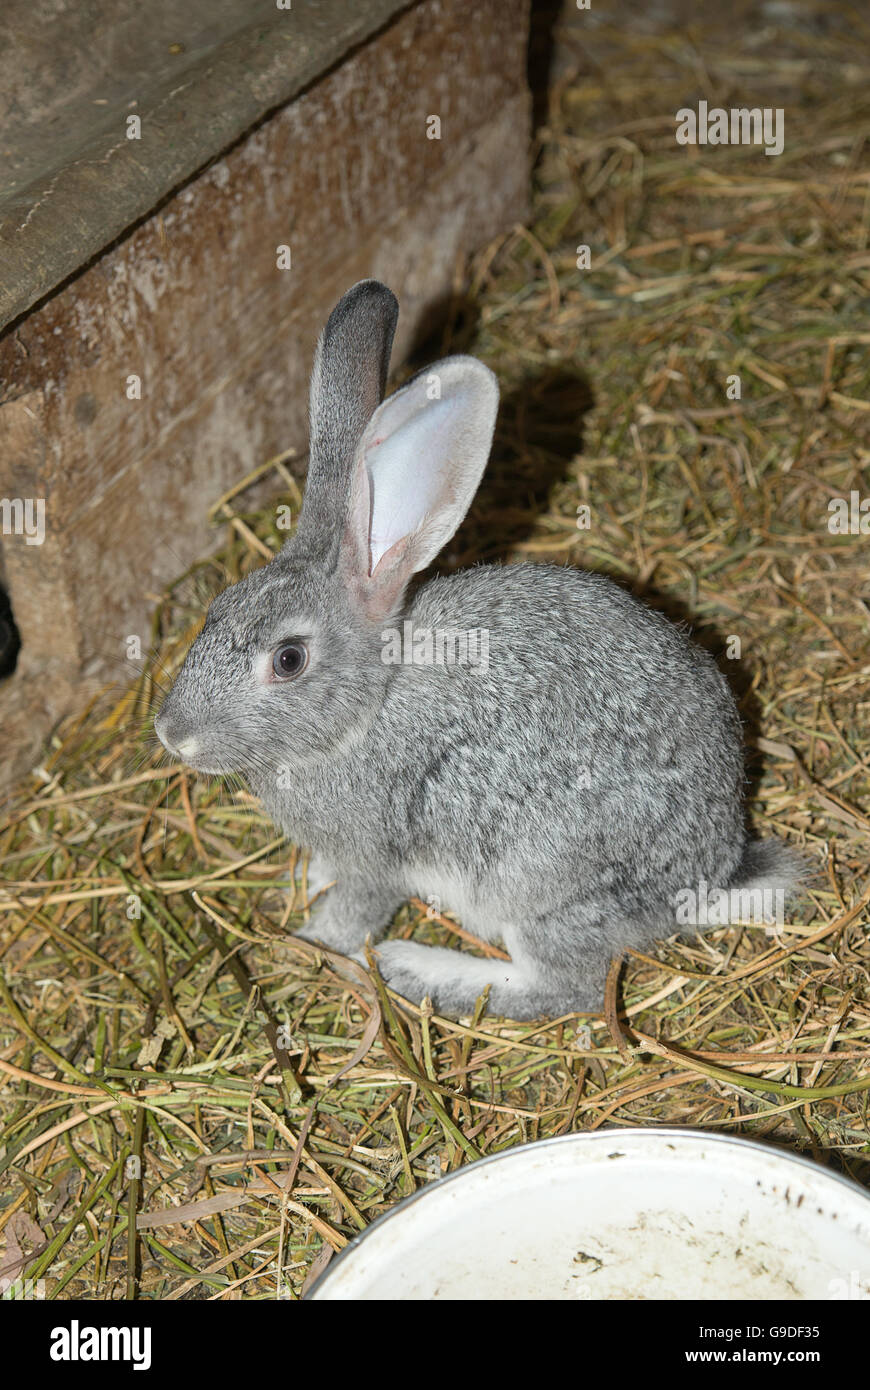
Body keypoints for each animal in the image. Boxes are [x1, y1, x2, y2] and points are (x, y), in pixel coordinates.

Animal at [155, 278, 805, 1020]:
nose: (172, 734)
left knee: (567, 987)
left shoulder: (377, 857)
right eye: (217, 606)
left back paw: (419, 969)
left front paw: (311, 940)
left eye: (289, 660)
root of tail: (711, 873)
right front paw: (309, 878)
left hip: (541, 882)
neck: (363, 714)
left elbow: (357, 909)